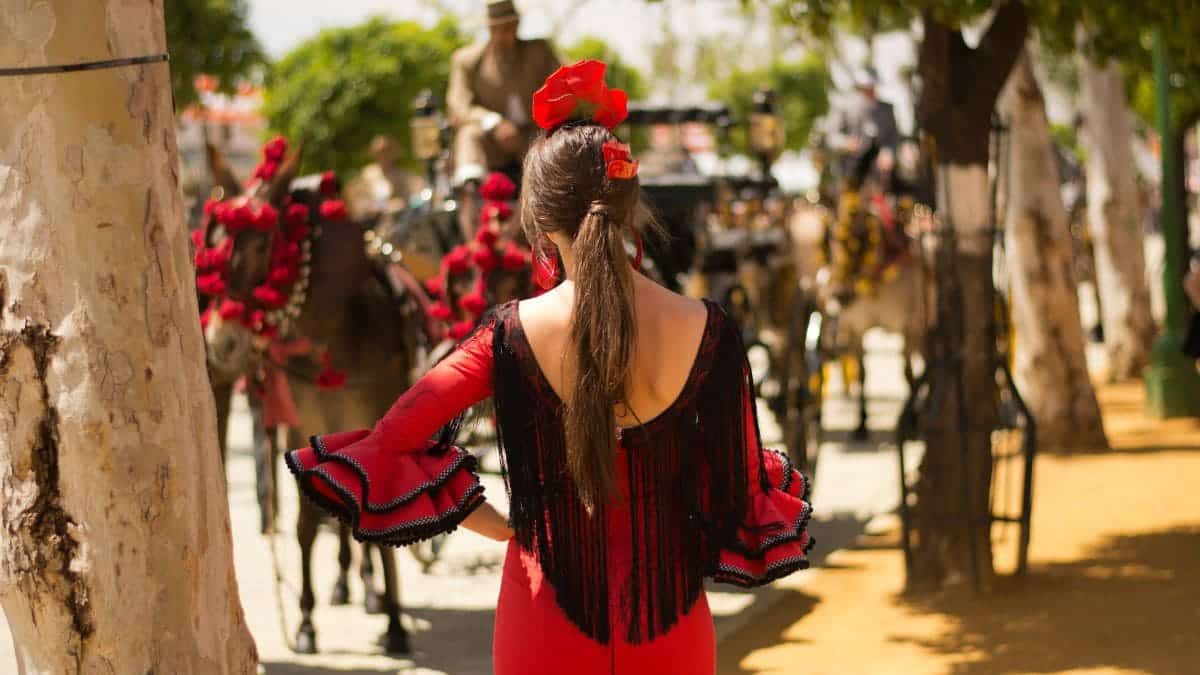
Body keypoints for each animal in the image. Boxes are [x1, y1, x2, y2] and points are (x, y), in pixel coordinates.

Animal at [205, 138, 427, 653]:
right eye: (212, 243)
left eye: (261, 244)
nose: (220, 343)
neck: (337, 334)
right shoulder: (304, 426)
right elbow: (307, 525)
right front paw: (306, 623)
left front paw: (395, 625)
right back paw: (346, 584)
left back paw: (369, 589)